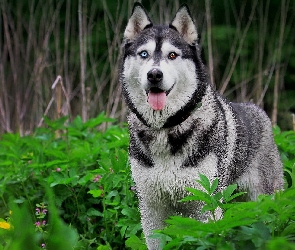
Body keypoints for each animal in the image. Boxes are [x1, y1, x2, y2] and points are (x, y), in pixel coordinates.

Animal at [119, 2, 286, 249]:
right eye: (143, 54)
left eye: (172, 55)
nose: (154, 74)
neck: (166, 128)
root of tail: (258, 110)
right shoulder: (151, 207)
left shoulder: (206, 205)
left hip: (265, 198)